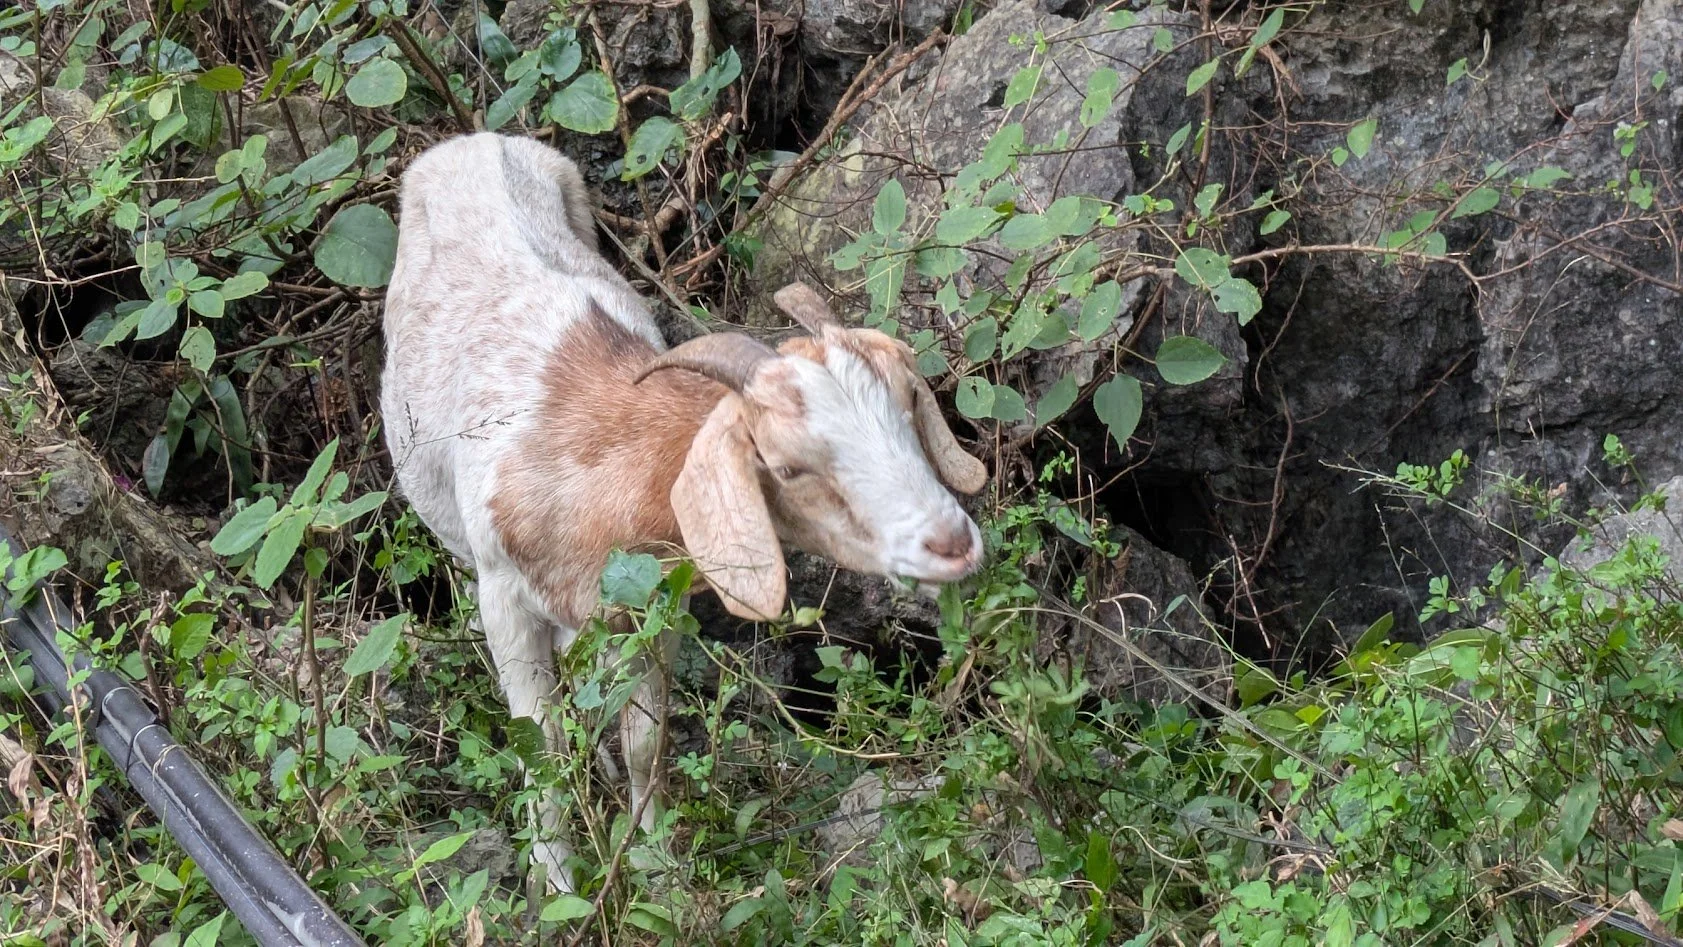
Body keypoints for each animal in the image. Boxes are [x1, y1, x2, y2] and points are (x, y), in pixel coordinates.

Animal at [379, 133, 988, 892]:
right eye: (786, 466)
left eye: (908, 406)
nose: (952, 541)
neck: (583, 452)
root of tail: (477, 139)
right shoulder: (504, 597)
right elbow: (542, 754)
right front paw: (560, 885)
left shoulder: (651, 606)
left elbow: (647, 741)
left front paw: (657, 868)